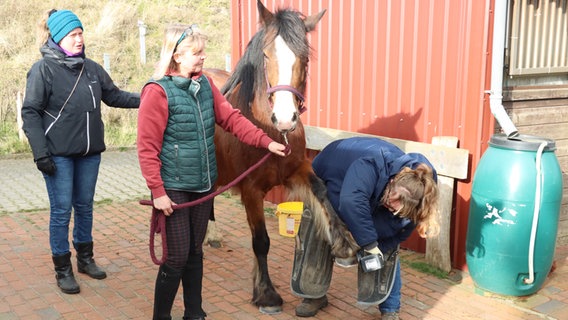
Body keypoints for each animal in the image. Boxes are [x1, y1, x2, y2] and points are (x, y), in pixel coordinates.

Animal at [203, 0, 356, 314]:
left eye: (305, 59)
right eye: (265, 55)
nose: (285, 119)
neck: (268, 131)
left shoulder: (297, 170)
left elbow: (323, 193)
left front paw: (343, 242)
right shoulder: (251, 190)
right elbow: (261, 241)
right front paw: (266, 294)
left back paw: (211, 236)